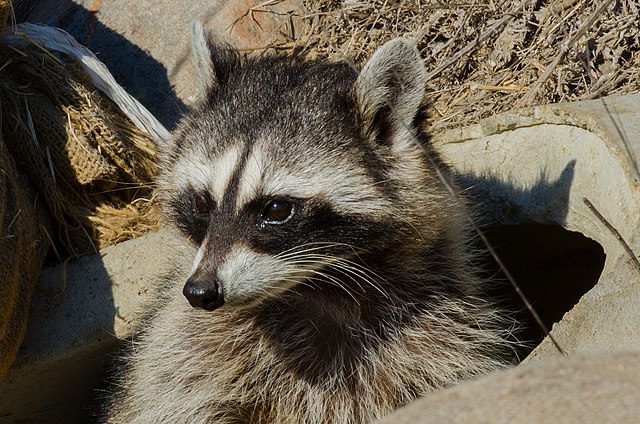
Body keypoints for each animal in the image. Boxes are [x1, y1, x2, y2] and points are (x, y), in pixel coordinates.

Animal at [105, 31, 516, 422]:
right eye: (203, 203)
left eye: (275, 209)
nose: (201, 291)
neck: (314, 289)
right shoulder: (182, 344)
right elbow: (171, 394)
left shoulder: (440, 326)